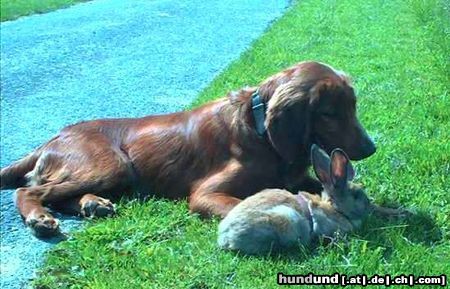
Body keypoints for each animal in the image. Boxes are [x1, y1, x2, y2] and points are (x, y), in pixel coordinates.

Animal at [0, 60, 376, 236]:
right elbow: (238, 205)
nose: (371, 148)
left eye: (354, 106)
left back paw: (93, 204)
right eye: (329, 113)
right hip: (112, 165)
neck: (260, 132)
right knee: (28, 190)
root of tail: (54, 136)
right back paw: (40, 217)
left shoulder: (298, 177)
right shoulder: (206, 194)